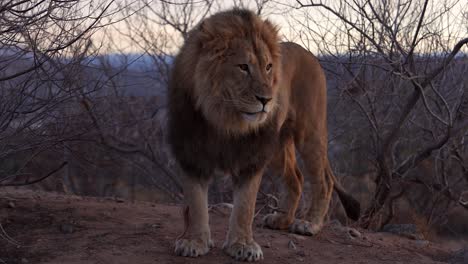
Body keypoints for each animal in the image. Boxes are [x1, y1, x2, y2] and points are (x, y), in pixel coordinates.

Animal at [167, 8, 358, 262]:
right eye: (243, 67)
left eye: (268, 67)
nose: (267, 100)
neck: (225, 120)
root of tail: (310, 54)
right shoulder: (191, 153)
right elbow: (196, 203)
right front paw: (194, 241)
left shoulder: (253, 156)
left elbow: (245, 206)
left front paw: (243, 245)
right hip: (277, 147)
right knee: (296, 179)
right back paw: (282, 220)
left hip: (309, 132)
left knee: (323, 180)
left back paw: (309, 224)